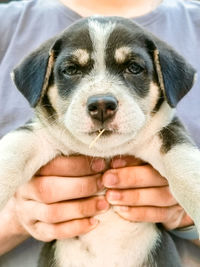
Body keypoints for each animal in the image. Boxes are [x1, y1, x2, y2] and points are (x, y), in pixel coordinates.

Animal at [0, 16, 200, 267]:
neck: (104, 154)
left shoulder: (168, 133)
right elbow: (12, 152)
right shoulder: (37, 134)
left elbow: (185, 167)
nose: (102, 105)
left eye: (134, 68)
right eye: (71, 70)